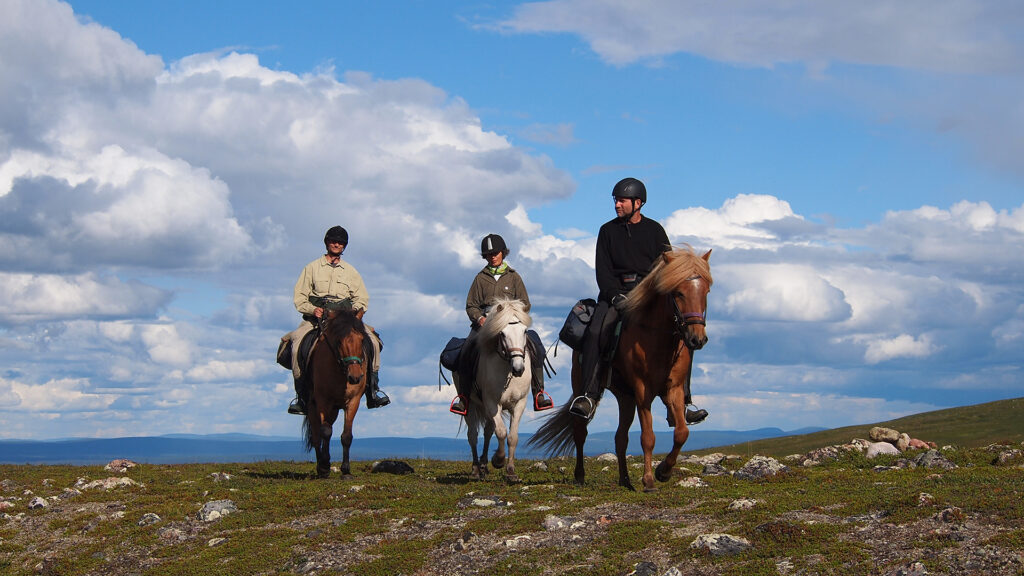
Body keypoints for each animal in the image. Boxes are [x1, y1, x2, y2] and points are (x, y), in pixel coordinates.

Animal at [299, 307, 368, 477]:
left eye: (362, 339)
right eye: (339, 341)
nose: (355, 376)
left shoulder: (353, 401)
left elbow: (346, 435)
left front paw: (346, 470)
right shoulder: (323, 401)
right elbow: (325, 431)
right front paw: (324, 466)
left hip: (334, 409)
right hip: (312, 406)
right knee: (317, 436)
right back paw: (321, 466)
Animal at [460, 295, 532, 479]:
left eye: (524, 331)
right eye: (502, 333)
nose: (518, 369)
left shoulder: (519, 404)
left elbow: (512, 436)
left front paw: (511, 471)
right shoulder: (493, 403)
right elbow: (501, 432)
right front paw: (498, 460)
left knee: (487, 432)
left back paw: (484, 465)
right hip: (471, 405)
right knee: (473, 435)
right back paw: (476, 469)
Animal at [528, 245, 712, 487]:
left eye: (706, 292)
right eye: (678, 292)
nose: (697, 339)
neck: (656, 337)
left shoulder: (673, 389)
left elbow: (681, 432)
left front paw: (663, 472)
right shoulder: (643, 391)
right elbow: (648, 437)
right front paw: (648, 480)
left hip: (626, 397)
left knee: (620, 437)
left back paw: (625, 480)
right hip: (584, 387)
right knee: (580, 431)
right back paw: (580, 475)